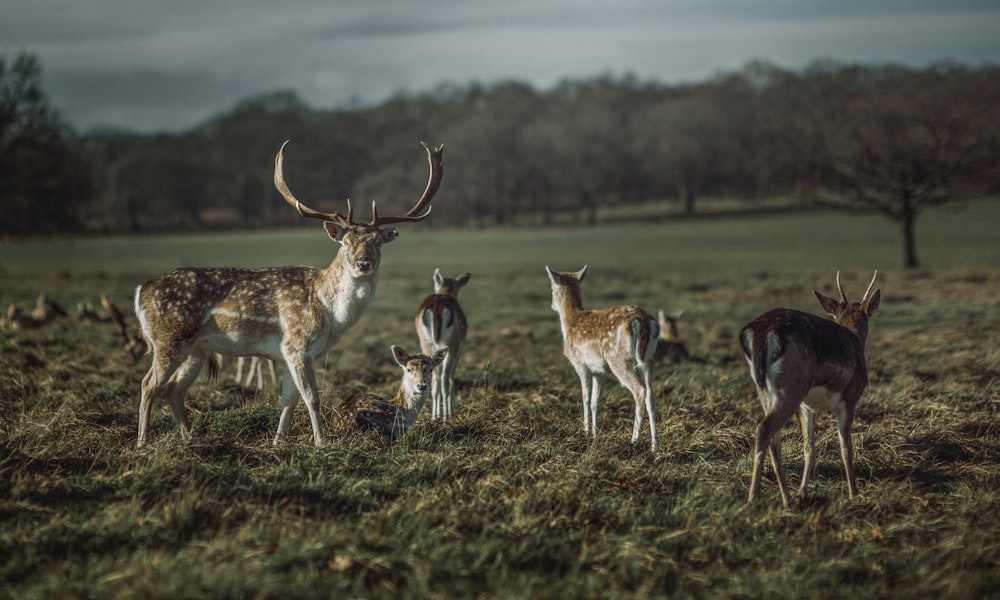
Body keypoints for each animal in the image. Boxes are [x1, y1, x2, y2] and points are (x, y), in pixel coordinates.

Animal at [132, 141, 442, 448]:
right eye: (345, 241)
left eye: (378, 242)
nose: (363, 263)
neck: (328, 312)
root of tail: (140, 292)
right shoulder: (297, 344)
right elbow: (312, 398)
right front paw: (321, 443)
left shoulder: (288, 352)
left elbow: (289, 400)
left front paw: (277, 442)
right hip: (168, 338)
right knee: (148, 384)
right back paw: (142, 442)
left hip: (196, 348)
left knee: (173, 389)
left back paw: (191, 439)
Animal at [416, 270, 474, 420]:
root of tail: (437, 308)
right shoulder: (458, 350)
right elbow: (451, 379)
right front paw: (449, 411)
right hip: (451, 346)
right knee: (444, 378)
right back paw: (447, 415)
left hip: (427, 344)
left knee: (434, 379)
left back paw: (434, 416)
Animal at [544, 266, 660, 450]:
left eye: (551, 288)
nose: (552, 305)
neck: (570, 321)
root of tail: (642, 322)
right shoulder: (599, 371)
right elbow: (595, 402)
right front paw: (594, 434)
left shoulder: (580, 363)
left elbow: (585, 398)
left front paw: (585, 432)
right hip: (648, 359)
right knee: (650, 394)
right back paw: (655, 446)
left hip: (618, 359)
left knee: (639, 390)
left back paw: (634, 440)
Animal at [740, 270, 880, 508]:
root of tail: (759, 333)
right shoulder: (849, 399)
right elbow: (846, 448)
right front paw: (854, 494)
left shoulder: (807, 407)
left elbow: (809, 448)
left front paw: (802, 493)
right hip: (791, 389)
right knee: (764, 428)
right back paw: (753, 498)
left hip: (766, 392)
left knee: (773, 439)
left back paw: (787, 499)